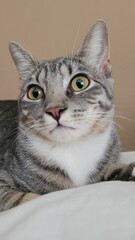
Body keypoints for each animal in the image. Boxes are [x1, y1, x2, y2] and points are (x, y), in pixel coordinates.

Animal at [0, 20, 134, 212]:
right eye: (35, 93)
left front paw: (123, 172)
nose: (55, 110)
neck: (72, 150)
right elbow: (28, 198)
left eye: (80, 83)